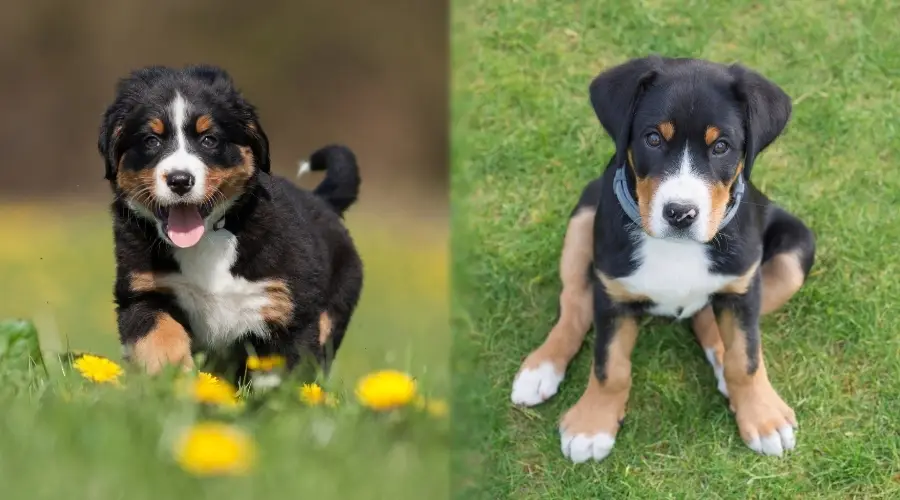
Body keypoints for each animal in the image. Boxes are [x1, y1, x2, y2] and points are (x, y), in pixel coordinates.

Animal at [100, 65, 364, 386]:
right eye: (151, 140)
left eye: (209, 140)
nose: (180, 180)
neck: (206, 240)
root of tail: (322, 201)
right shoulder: (141, 292)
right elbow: (158, 337)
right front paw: (174, 378)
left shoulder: (289, 310)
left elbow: (284, 373)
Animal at [512, 56, 816, 462]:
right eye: (653, 138)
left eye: (722, 146)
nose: (680, 213)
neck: (676, 247)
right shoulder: (613, 292)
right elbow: (609, 365)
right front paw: (591, 425)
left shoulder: (743, 286)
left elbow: (746, 358)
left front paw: (763, 416)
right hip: (584, 214)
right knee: (574, 303)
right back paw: (541, 368)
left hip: (797, 249)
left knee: (707, 318)